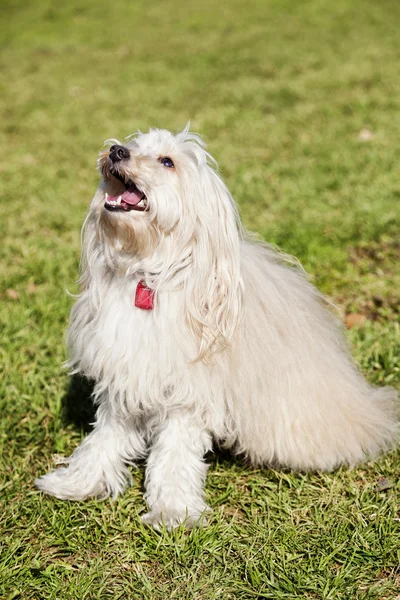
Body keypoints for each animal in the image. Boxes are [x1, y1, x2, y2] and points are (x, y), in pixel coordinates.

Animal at [35, 126, 396, 528]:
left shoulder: (186, 394)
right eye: (130, 145)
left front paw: (172, 511)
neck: (151, 274)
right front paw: (78, 483)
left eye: (167, 162)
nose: (115, 151)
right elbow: (105, 438)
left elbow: (174, 456)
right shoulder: (126, 375)